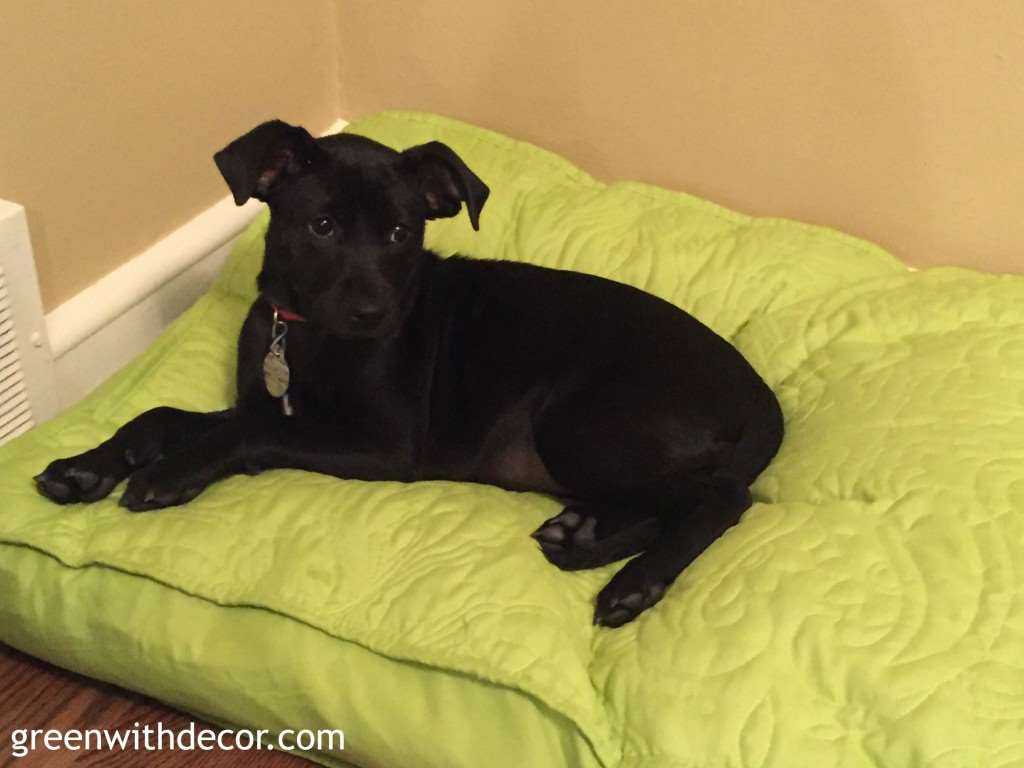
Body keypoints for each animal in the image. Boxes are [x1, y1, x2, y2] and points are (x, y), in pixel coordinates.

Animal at [34, 118, 782, 626]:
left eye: (401, 234)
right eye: (322, 226)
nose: (374, 313)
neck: (308, 337)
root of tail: (759, 396)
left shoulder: (383, 445)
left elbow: (241, 436)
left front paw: (168, 474)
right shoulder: (265, 403)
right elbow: (161, 416)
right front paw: (85, 467)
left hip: (581, 424)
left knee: (720, 497)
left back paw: (635, 582)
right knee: (671, 499)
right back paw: (585, 532)